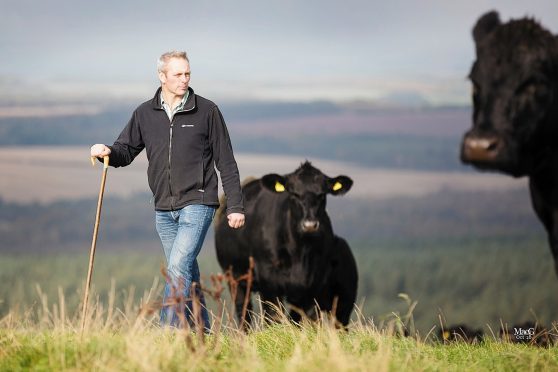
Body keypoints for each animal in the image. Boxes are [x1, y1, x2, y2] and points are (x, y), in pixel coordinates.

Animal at [214, 161, 358, 326]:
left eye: (322, 195)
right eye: (294, 194)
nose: (309, 225)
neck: (301, 253)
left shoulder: (314, 282)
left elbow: (304, 318)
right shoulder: (268, 278)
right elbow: (273, 317)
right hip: (234, 277)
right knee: (244, 310)